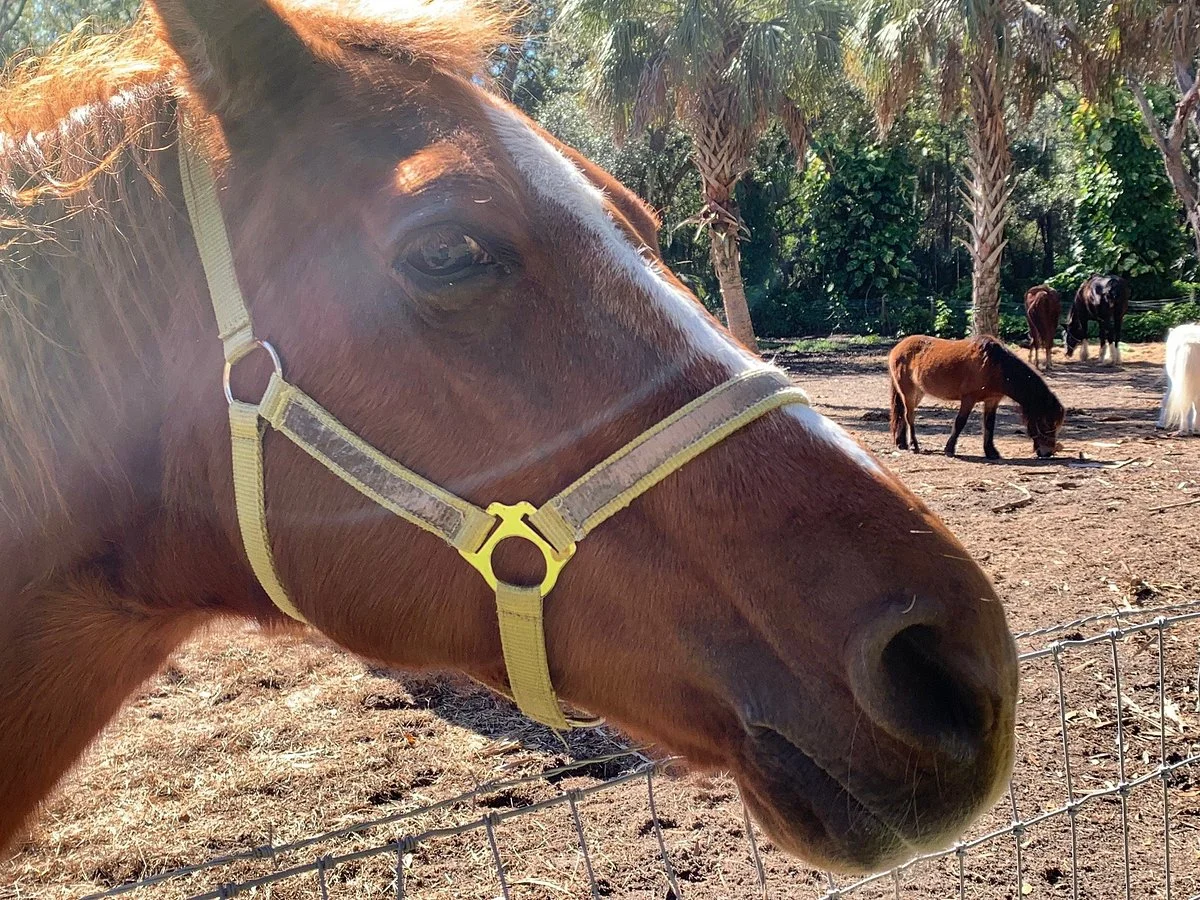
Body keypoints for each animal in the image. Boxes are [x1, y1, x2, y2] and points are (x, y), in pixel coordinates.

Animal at [889, 336, 1065, 460]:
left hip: (918, 393)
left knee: (904, 415)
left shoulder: (992, 401)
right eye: (1045, 422)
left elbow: (989, 425)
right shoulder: (968, 399)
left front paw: (991, 452)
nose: (1048, 452)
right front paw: (949, 449)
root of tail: (897, 348)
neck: (995, 366)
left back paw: (902, 443)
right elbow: (960, 422)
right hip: (908, 392)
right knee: (909, 416)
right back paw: (914, 445)